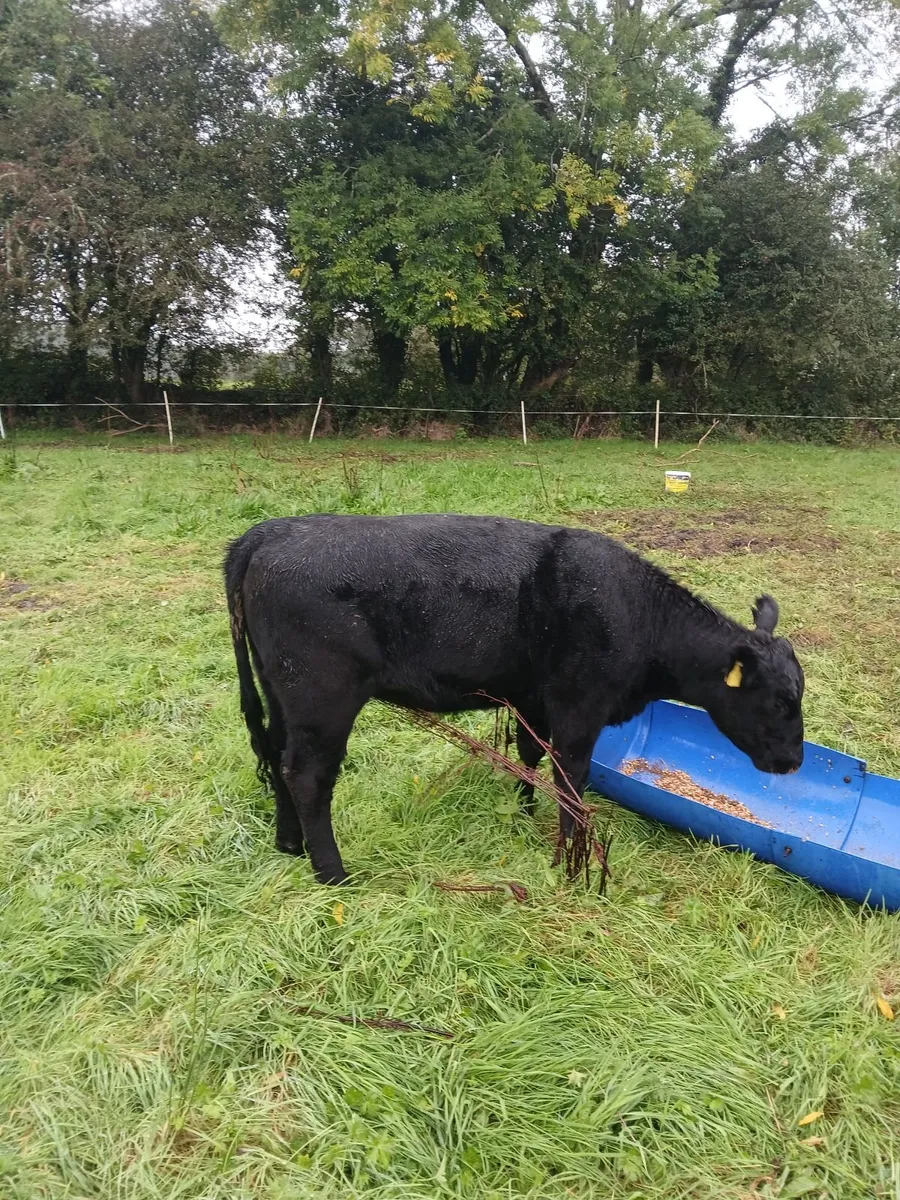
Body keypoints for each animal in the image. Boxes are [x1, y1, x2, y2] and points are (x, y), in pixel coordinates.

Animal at [224, 513, 805, 885]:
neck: (636, 612)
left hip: (281, 694)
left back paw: (288, 845)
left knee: (277, 758)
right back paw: (333, 874)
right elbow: (570, 778)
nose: (795, 762)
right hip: (322, 698)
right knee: (307, 775)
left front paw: (522, 814)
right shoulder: (579, 707)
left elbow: (529, 755)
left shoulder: (530, 698)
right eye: (780, 702)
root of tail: (271, 531)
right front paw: (568, 861)